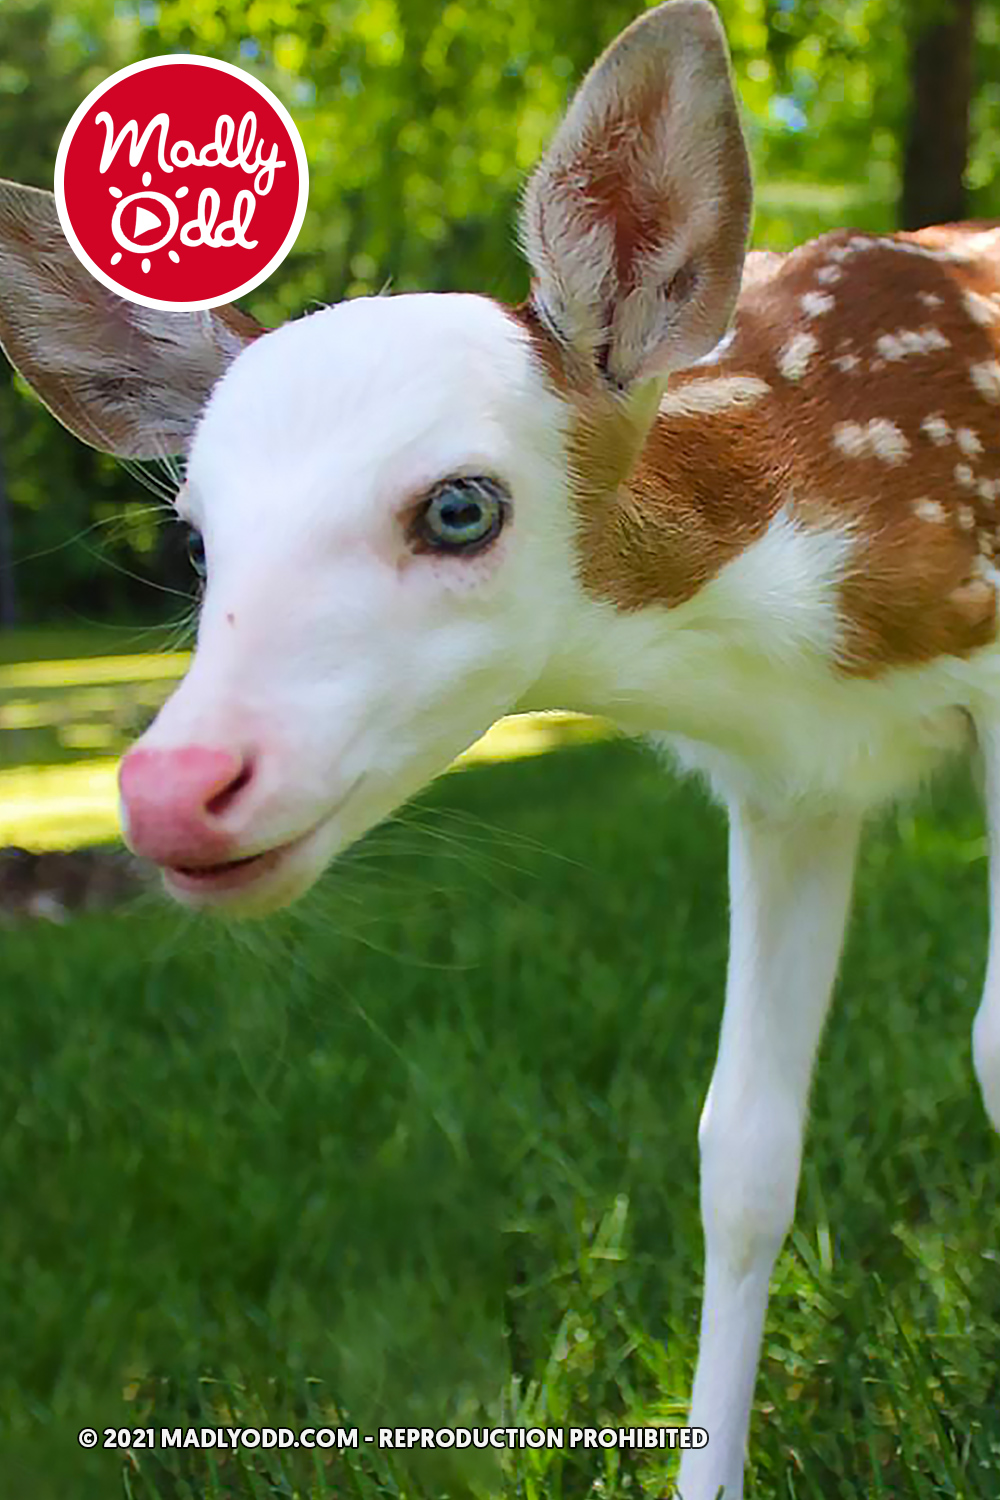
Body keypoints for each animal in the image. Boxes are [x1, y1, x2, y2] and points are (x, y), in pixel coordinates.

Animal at [1, 0, 1000, 1493]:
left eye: (461, 506)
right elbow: (740, 1149)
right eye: (195, 541)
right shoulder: (790, 781)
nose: (173, 790)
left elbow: (991, 1048)